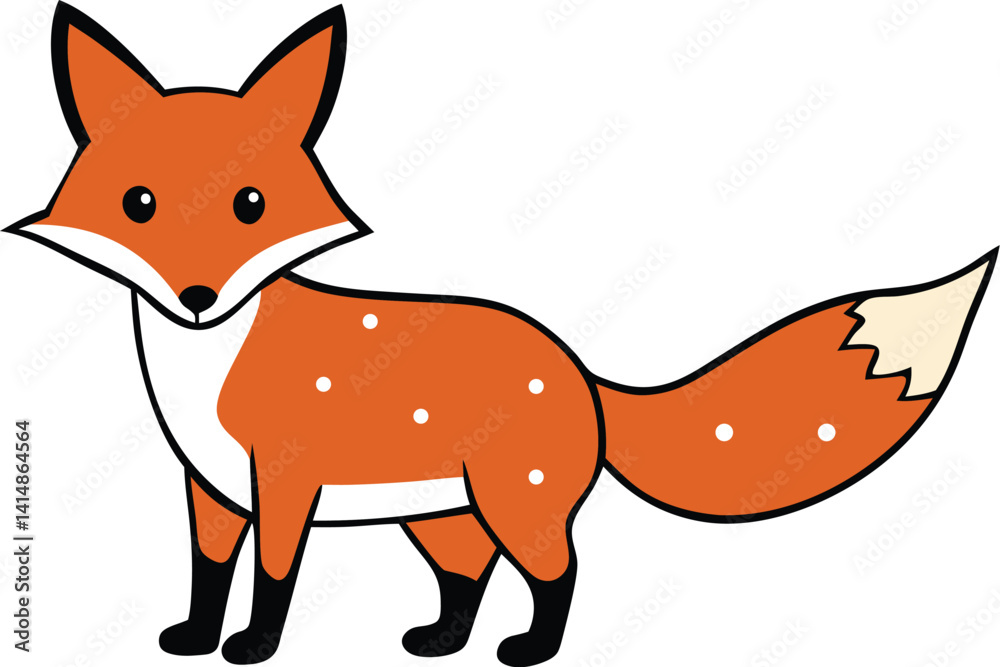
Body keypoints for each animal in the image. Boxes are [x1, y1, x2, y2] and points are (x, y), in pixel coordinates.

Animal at [5, 3, 997, 666]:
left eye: (250, 204)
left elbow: (273, 577)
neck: (205, 361)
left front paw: (250, 646)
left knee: (560, 572)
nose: (199, 296)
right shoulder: (211, 487)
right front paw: (193, 638)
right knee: (467, 577)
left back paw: (530, 648)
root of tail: (579, 367)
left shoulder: (286, 481)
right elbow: (208, 571)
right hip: (442, 515)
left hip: (518, 504)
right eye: (139, 204)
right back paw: (441, 639)